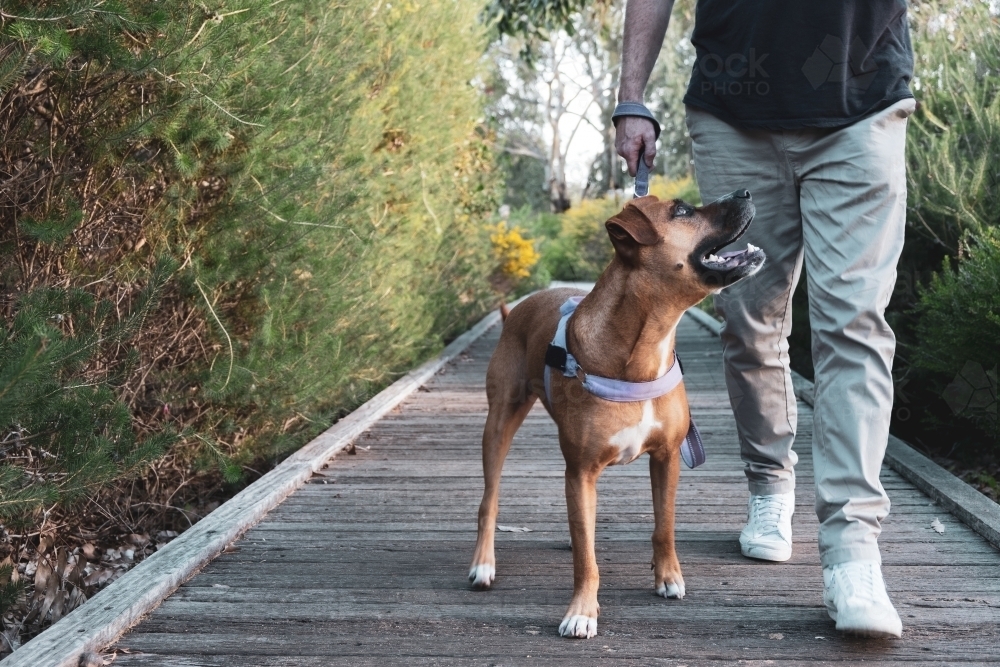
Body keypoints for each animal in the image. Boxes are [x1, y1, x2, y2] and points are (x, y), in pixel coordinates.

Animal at [472, 190, 760, 640]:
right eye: (682, 210)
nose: (745, 191)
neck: (644, 347)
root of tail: (520, 308)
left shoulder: (667, 458)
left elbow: (664, 526)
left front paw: (668, 576)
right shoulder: (582, 471)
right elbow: (587, 562)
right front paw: (581, 611)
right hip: (499, 424)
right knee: (489, 501)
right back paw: (483, 565)